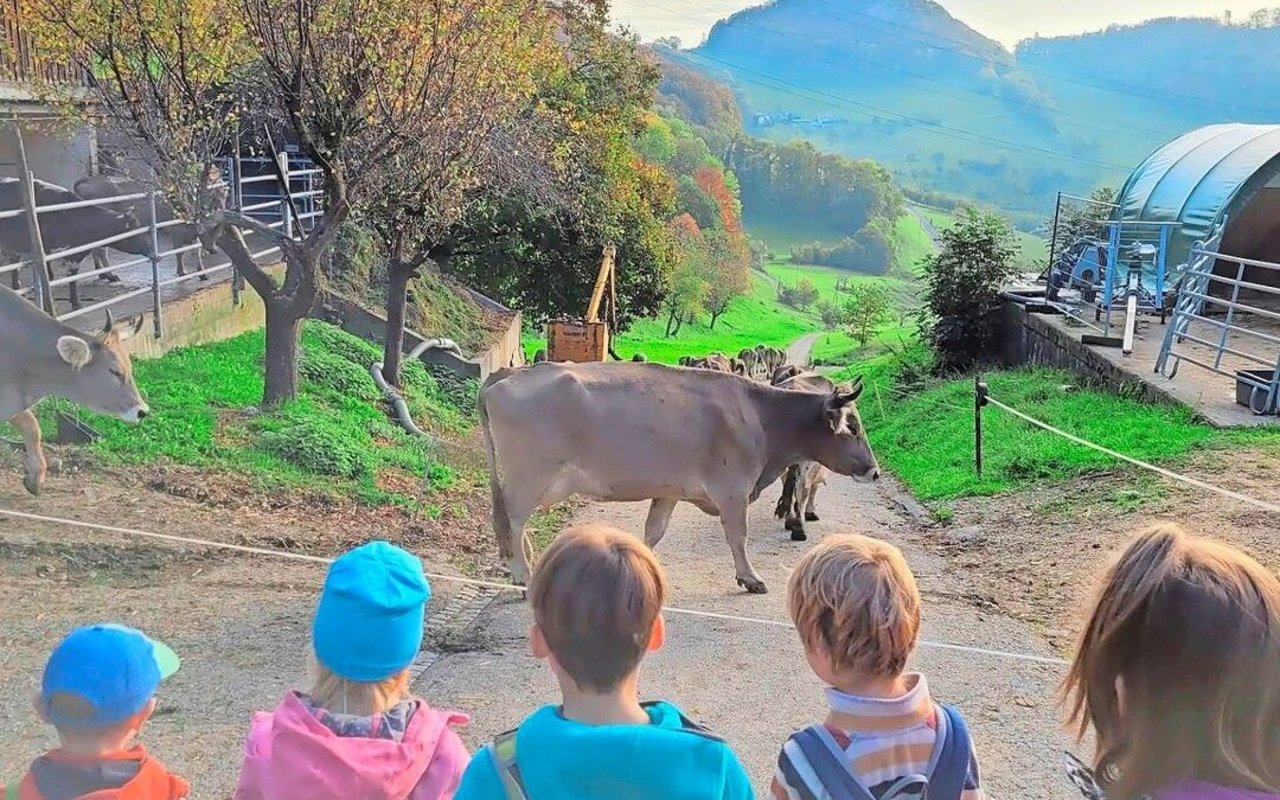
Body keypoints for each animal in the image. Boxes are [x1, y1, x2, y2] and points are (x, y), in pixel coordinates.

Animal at [481, 360, 880, 593]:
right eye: (853, 427)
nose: (875, 471)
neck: (762, 416)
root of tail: (510, 372)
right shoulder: (732, 491)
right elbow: (738, 537)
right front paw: (750, 577)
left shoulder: (670, 490)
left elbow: (653, 532)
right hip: (530, 476)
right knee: (512, 520)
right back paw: (522, 572)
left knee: (511, 522)